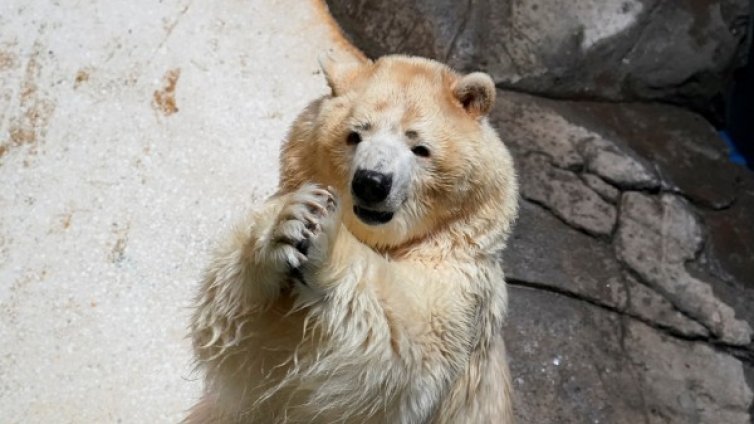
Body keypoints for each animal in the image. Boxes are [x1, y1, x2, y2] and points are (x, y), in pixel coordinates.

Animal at [185, 54, 520, 422]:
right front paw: (291, 221)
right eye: (354, 135)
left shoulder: (462, 282)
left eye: (420, 147)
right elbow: (252, 345)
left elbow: (407, 342)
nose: (372, 182)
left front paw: (325, 244)